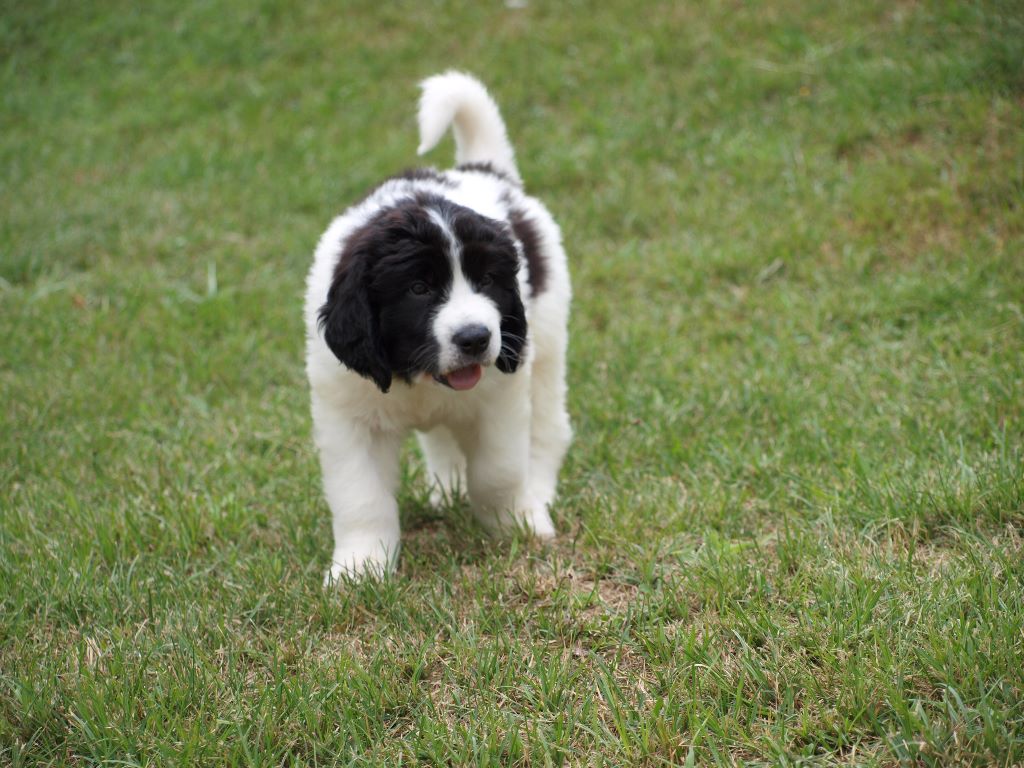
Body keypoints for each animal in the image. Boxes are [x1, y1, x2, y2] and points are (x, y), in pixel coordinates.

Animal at [303, 73, 577, 581]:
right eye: (418, 289)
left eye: (487, 280)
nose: (476, 338)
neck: (418, 376)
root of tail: (485, 170)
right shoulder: (347, 414)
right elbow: (360, 496)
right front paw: (359, 568)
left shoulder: (501, 398)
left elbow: (497, 470)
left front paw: (513, 524)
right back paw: (448, 489)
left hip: (546, 342)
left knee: (547, 427)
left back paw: (536, 496)